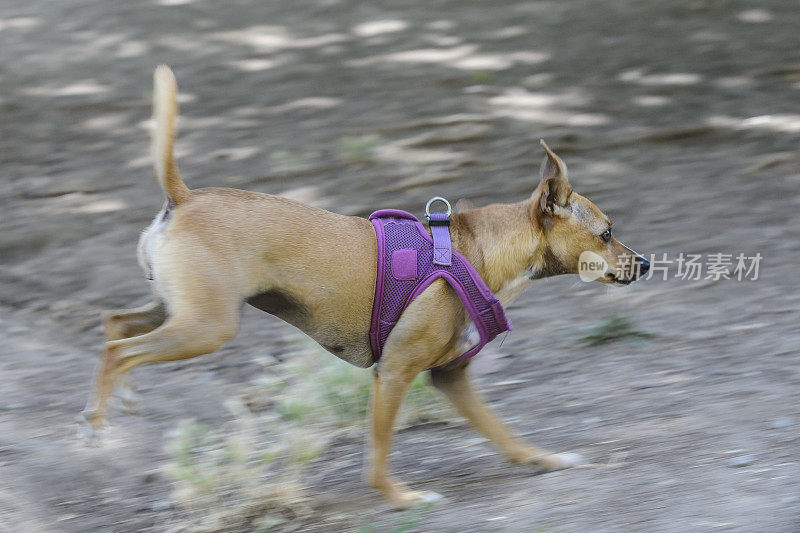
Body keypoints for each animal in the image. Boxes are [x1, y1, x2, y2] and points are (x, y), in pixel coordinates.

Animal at [83, 65, 648, 508]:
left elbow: (504, 434)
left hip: (178, 311)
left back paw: (117, 403)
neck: (472, 252)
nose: (643, 263)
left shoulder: (452, 379)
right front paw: (403, 499)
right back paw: (98, 427)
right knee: (121, 351)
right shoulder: (395, 372)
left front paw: (544, 459)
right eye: (607, 233)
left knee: (115, 326)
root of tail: (185, 197)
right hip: (207, 326)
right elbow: (377, 457)